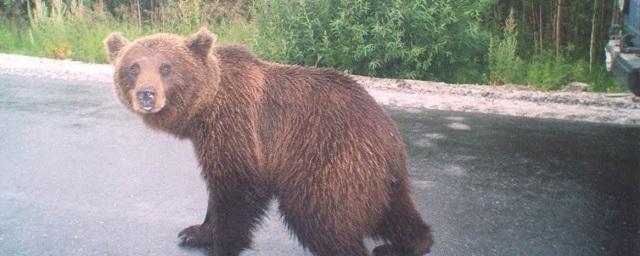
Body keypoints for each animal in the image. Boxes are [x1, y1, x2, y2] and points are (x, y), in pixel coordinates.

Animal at [105, 28, 432, 256]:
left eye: (166, 67)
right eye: (133, 67)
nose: (146, 95)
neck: (203, 112)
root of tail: (389, 133)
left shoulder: (236, 127)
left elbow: (239, 189)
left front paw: (221, 243)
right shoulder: (211, 140)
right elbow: (217, 187)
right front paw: (195, 232)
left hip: (330, 160)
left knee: (319, 217)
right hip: (378, 177)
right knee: (395, 213)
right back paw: (405, 244)